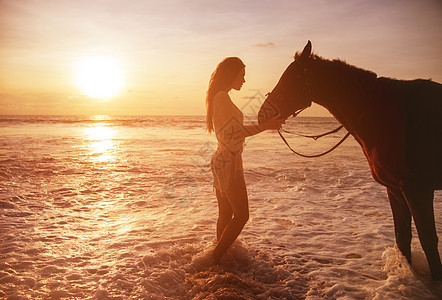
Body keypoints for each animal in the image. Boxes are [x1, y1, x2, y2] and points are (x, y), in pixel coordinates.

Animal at [258, 41, 440, 280]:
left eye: (291, 77)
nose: (261, 114)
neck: (385, 116)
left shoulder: (417, 190)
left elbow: (428, 240)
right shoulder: (396, 190)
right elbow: (403, 239)